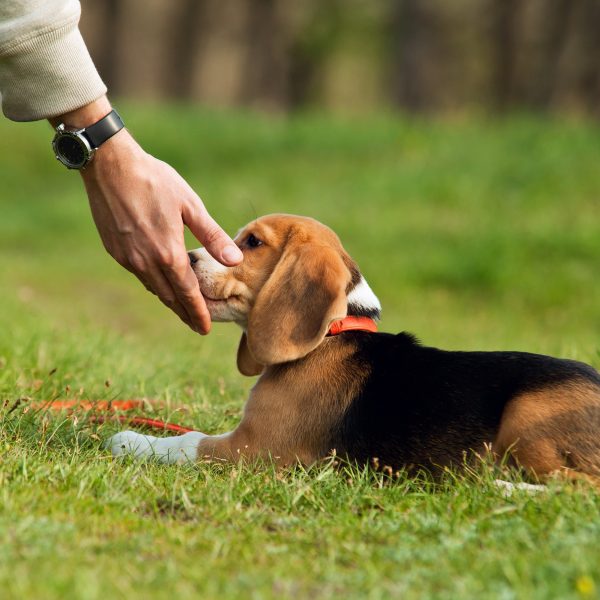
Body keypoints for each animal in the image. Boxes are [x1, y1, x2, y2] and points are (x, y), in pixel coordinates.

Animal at [108, 214, 600, 482]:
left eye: (252, 242)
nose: (189, 258)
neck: (332, 333)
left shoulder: (254, 449)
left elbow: (187, 442)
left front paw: (130, 440)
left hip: (527, 415)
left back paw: (498, 484)